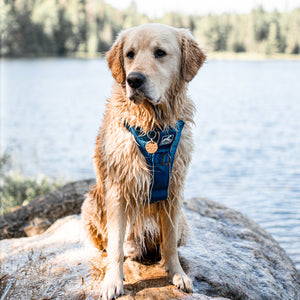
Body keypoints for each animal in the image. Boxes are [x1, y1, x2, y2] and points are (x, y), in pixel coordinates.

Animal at [81, 22, 205, 298]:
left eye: (160, 53)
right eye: (130, 54)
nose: (134, 79)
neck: (152, 126)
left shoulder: (173, 189)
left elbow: (169, 243)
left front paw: (177, 273)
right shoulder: (117, 190)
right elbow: (115, 246)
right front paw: (113, 281)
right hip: (92, 201)